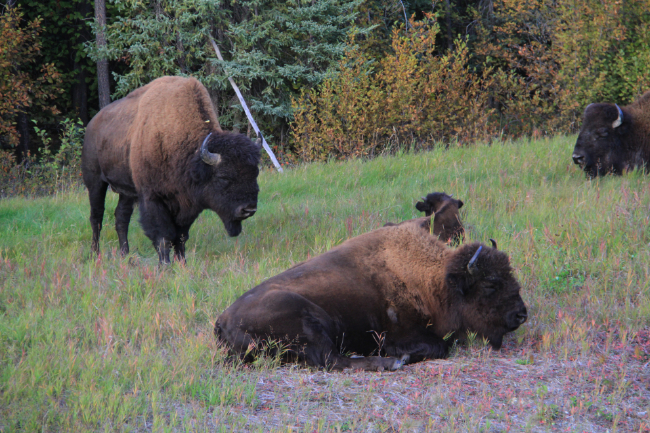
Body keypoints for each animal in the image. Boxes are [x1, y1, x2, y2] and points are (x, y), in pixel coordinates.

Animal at [82, 76, 261, 264]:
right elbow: (163, 236)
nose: (248, 209)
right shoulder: (153, 198)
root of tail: (92, 124)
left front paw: (182, 263)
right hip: (95, 182)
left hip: (127, 191)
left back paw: (125, 254)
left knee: (121, 217)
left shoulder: (187, 204)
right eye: (224, 177)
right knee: (96, 217)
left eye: (255, 173)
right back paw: (94, 254)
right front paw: (165, 265)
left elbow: (181, 236)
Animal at [215, 218, 527, 371]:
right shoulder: (403, 334)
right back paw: (391, 363)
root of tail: (221, 321)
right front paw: (400, 355)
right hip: (310, 321)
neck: (435, 279)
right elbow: (439, 346)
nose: (521, 315)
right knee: (332, 361)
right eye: (491, 284)